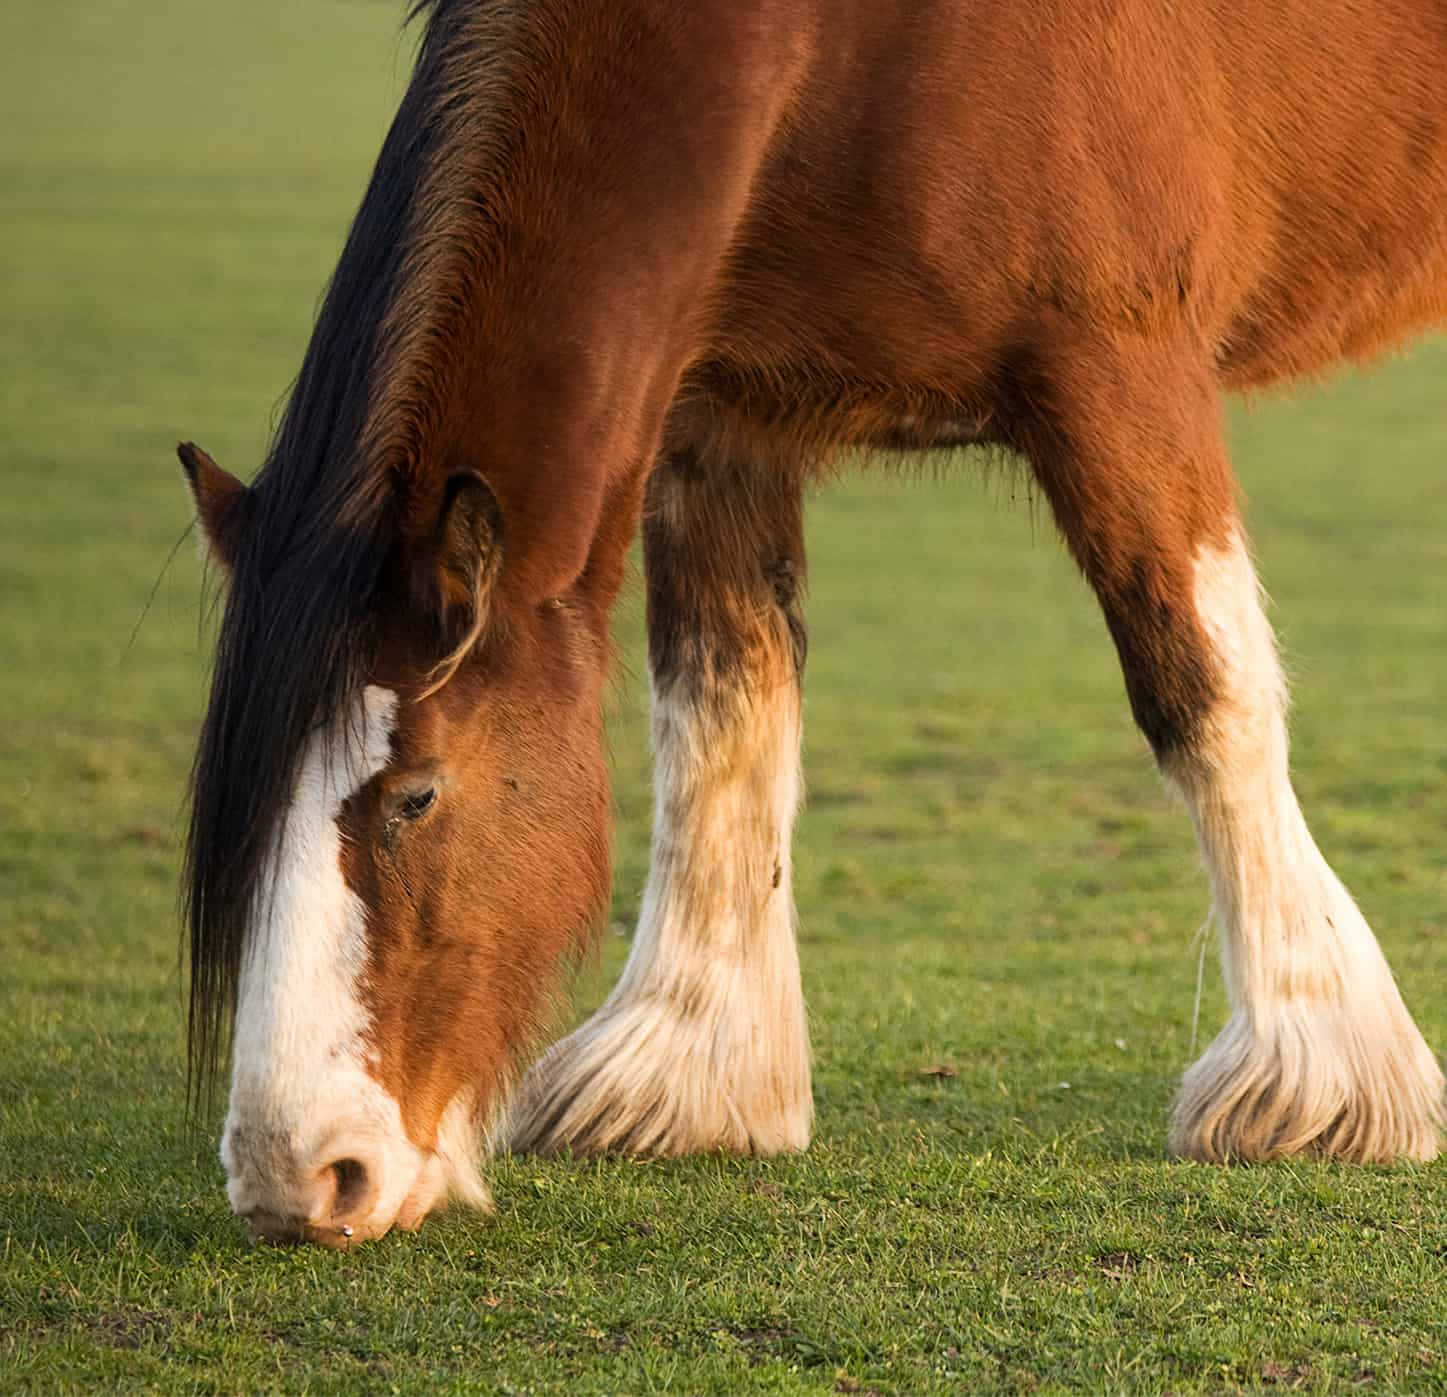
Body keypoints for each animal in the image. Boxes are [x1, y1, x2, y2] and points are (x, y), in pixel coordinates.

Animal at [180, 0, 1447, 1247]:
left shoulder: (1120, 375)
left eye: (418, 794)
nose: (301, 1175)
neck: (827, 54)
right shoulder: (720, 422)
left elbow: (1204, 693)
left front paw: (1321, 1075)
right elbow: (720, 717)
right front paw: (688, 1073)